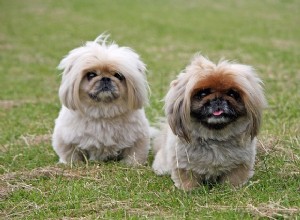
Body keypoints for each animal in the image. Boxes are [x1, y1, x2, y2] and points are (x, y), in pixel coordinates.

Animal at [52, 34, 150, 165]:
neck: (103, 112)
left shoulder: (138, 139)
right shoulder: (65, 139)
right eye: (91, 75)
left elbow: (135, 154)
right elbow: (71, 154)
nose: (105, 78)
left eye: (118, 75)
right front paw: (73, 164)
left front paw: (132, 164)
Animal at [152, 54, 268, 190]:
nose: (218, 99)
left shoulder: (241, 164)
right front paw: (188, 190)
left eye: (232, 93)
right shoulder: (183, 164)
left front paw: (233, 188)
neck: (215, 137)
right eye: (203, 93)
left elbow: (234, 178)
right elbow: (187, 178)